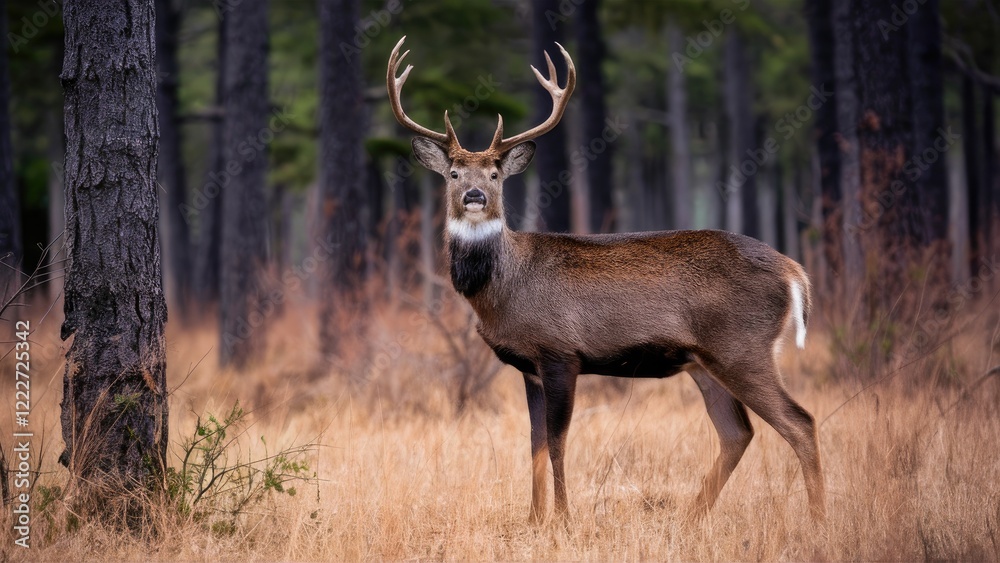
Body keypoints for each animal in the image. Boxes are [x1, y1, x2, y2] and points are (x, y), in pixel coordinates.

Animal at [386, 36, 825, 524]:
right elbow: (534, 444)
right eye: (454, 173)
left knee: (799, 421)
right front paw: (534, 520)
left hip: (742, 346)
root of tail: (793, 271)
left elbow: (557, 441)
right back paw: (691, 519)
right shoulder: (529, 366)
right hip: (704, 359)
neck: (505, 288)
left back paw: (816, 521)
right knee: (738, 432)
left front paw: (563, 519)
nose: (475, 195)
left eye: (495, 173)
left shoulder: (560, 350)